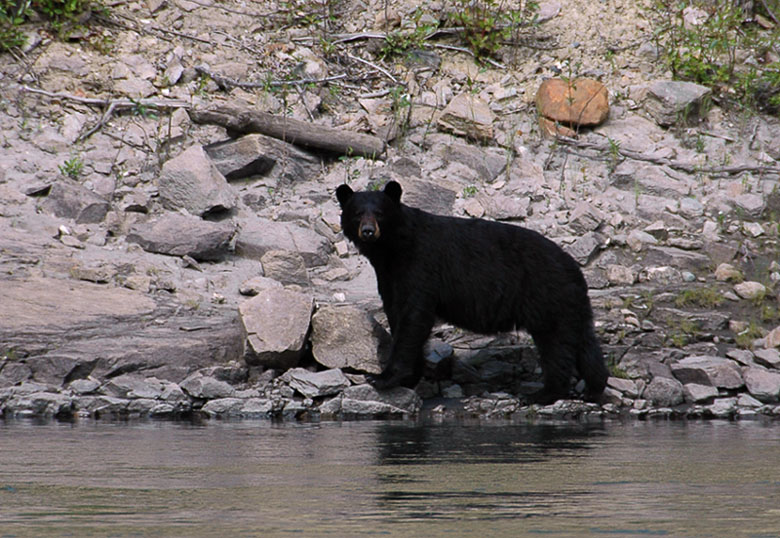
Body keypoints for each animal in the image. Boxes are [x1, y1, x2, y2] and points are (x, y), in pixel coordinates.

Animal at [336, 181, 608, 402]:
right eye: (357, 213)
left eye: (380, 214)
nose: (368, 231)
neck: (392, 249)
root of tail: (575, 268)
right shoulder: (390, 276)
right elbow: (397, 314)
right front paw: (409, 377)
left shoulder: (420, 266)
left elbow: (414, 319)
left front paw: (383, 378)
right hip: (570, 303)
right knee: (584, 341)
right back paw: (594, 387)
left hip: (546, 296)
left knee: (556, 345)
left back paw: (546, 393)